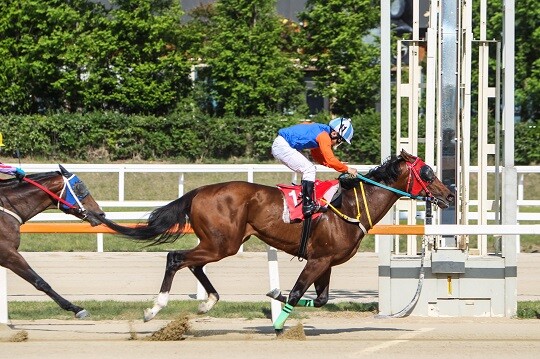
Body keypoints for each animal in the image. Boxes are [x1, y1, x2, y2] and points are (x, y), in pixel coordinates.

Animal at [96, 150, 452, 334]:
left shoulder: (326, 262)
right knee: (175, 257)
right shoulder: (318, 260)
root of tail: (198, 191)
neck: (350, 207)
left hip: (219, 243)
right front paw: (279, 322)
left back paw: (207, 301)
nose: (450, 195)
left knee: (192, 263)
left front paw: (274, 295)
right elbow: (296, 293)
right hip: (223, 243)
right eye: (427, 172)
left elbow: (320, 299)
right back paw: (153, 310)